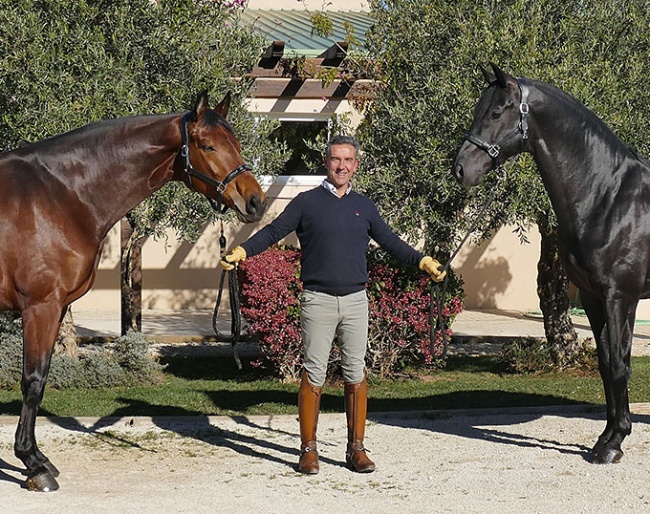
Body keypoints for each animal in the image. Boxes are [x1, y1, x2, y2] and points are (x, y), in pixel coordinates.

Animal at [1, 91, 266, 488]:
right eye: (208, 146)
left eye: (236, 144)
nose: (255, 201)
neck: (59, 195)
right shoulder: (40, 307)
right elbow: (33, 382)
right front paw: (33, 464)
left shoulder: (55, 308)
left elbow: (41, 378)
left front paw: (37, 459)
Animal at [450, 62, 648, 462]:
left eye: (497, 112)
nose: (460, 168)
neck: (610, 198)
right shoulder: (592, 298)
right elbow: (606, 364)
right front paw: (604, 439)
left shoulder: (621, 296)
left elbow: (620, 364)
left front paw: (615, 444)